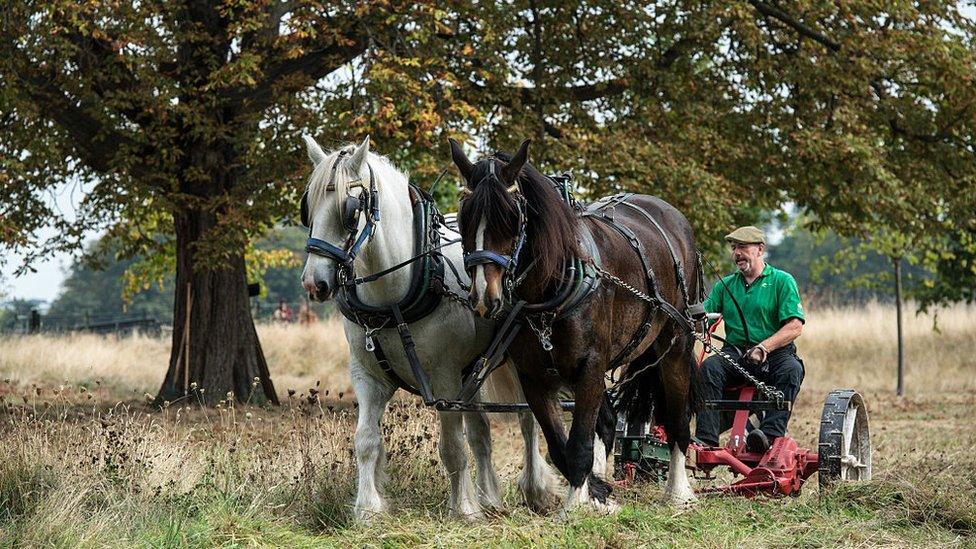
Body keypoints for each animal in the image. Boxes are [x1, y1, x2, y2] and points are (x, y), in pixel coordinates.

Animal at [298, 136, 560, 520]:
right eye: (309, 208)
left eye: (350, 211)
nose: (314, 283)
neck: (392, 298)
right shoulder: (367, 376)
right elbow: (366, 441)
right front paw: (368, 508)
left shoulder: (444, 379)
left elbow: (452, 446)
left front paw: (463, 508)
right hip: (473, 372)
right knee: (482, 432)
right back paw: (489, 496)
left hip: (514, 359)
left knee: (527, 420)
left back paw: (535, 488)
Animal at [450, 137, 700, 510]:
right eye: (465, 218)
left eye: (510, 218)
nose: (484, 296)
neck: (550, 289)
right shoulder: (534, 377)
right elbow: (560, 446)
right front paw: (592, 494)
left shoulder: (590, 366)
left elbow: (579, 443)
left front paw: (573, 505)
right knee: (607, 423)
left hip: (676, 343)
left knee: (677, 419)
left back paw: (678, 492)